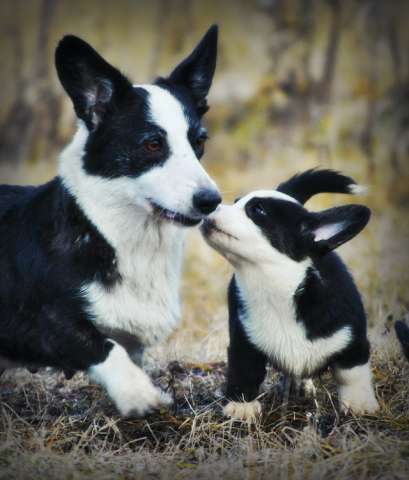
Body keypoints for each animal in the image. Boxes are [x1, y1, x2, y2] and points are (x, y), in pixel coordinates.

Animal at [201, 169, 380, 420]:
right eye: (236, 201)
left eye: (257, 210)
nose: (207, 206)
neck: (274, 287)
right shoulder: (243, 340)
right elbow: (244, 371)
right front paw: (241, 407)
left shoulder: (352, 340)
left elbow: (351, 373)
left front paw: (359, 404)